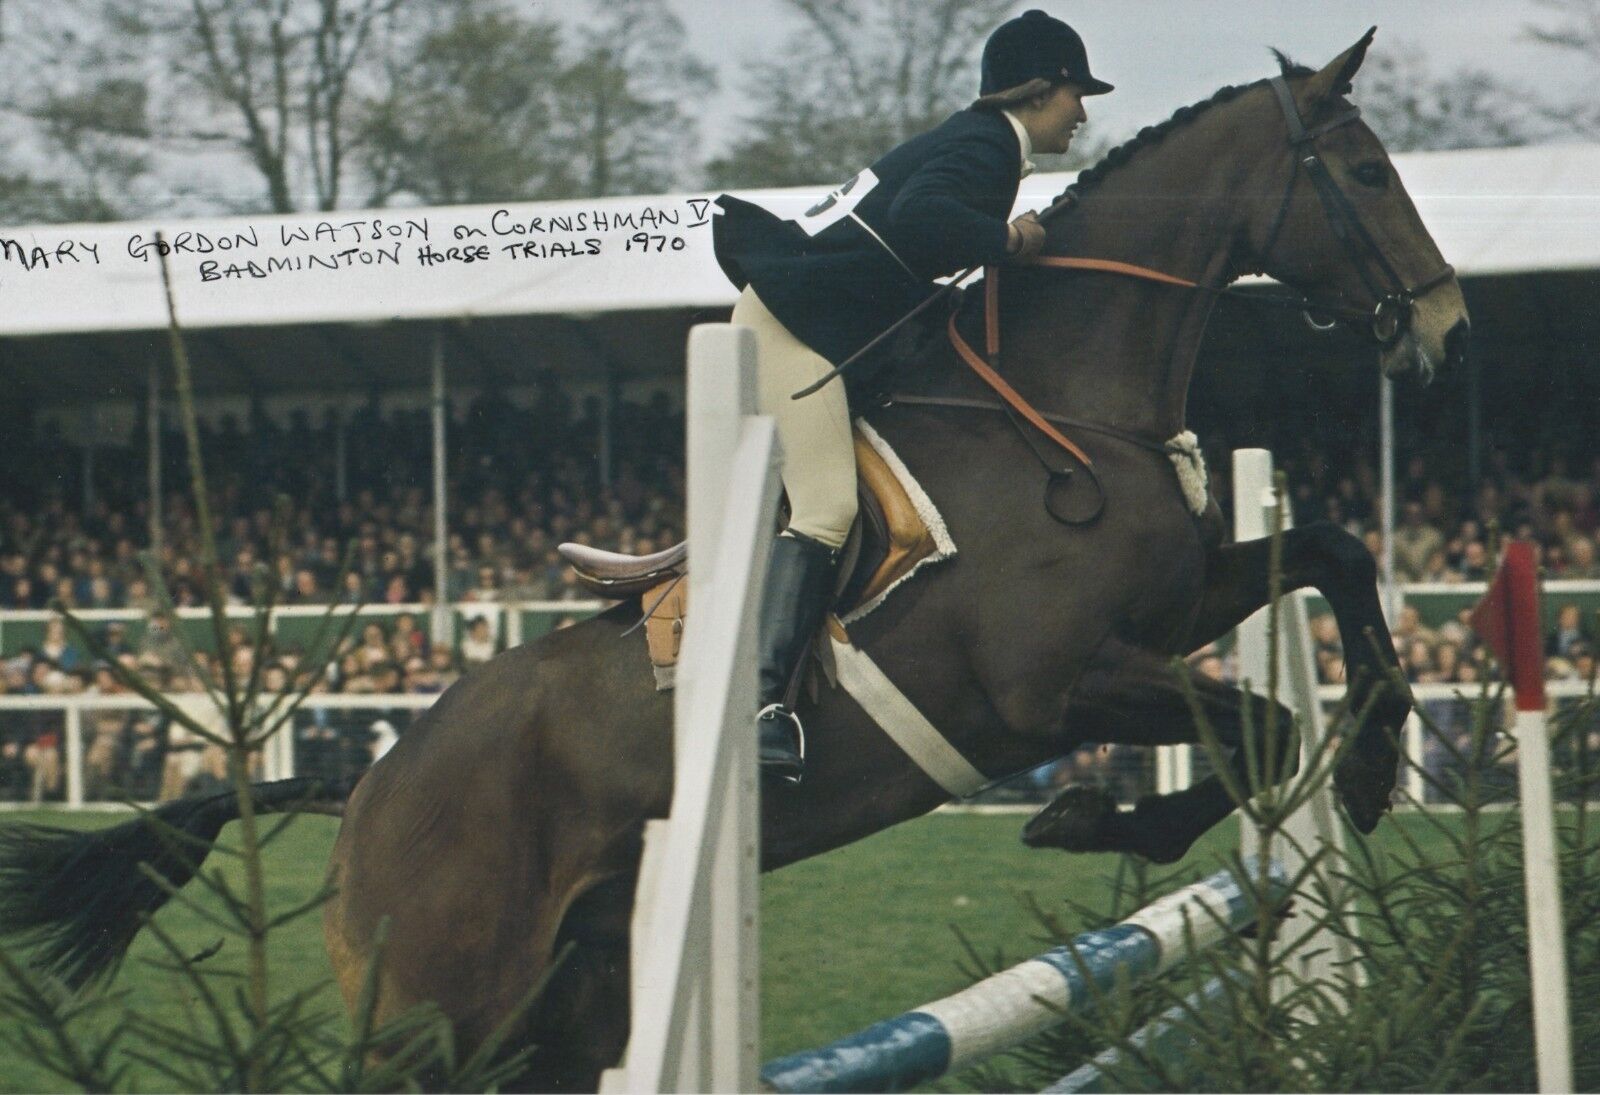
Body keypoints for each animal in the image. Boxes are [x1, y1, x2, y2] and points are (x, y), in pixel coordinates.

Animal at [0, 34, 1465, 1095]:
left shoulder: (1170, 610)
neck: (1066, 404)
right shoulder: (1053, 686)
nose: (1444, 329)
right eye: (1368, 174)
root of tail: (364, 787)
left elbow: (1331, 559)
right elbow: (1260, 723)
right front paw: (1097, 818)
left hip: (568, 1005)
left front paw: (1376, 763)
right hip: (438, 1016)